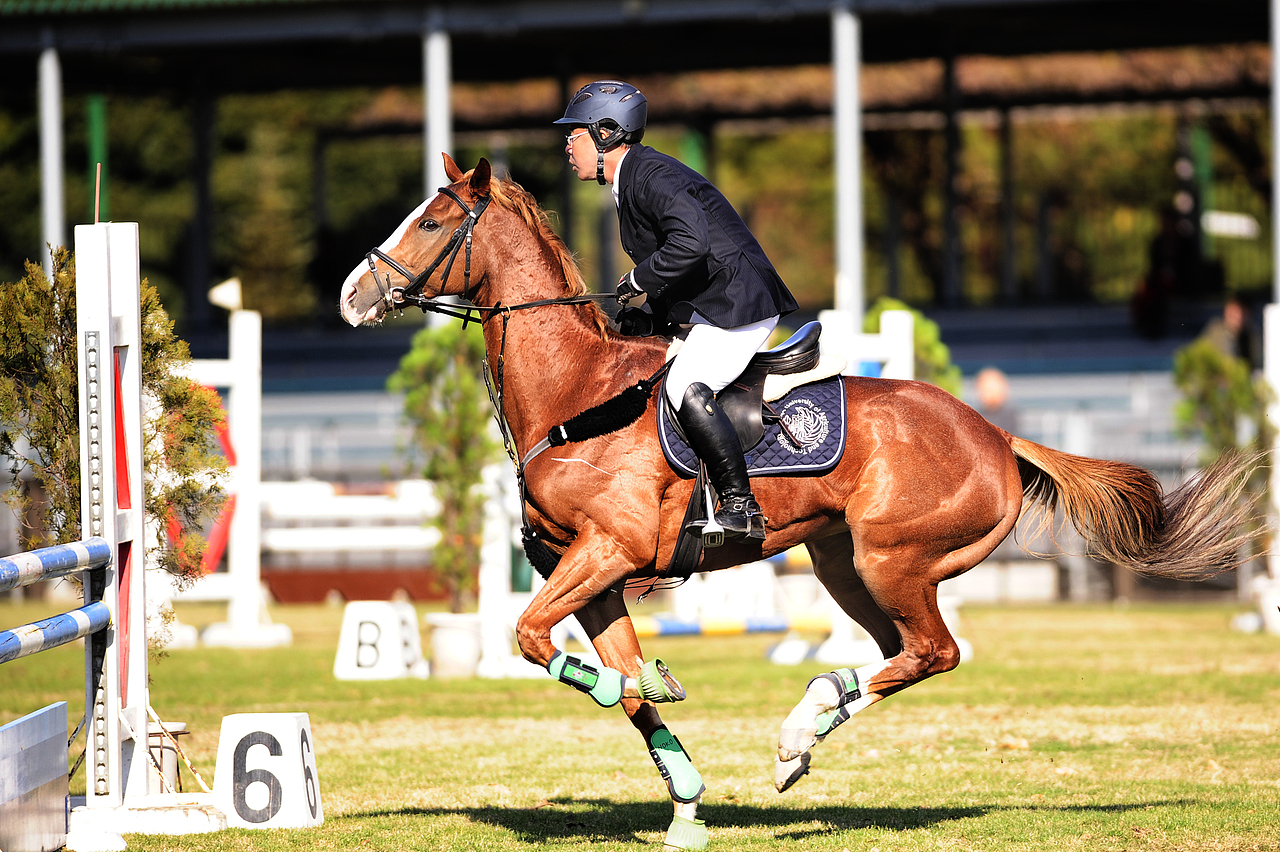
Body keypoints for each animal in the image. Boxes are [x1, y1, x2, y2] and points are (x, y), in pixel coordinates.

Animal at [339, 155, 1261, 850]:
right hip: (842, 562)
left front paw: (629, 711)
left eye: (430, 223)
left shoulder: (610, 552)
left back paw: (797, 731)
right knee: (900, 654)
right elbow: (632, 688)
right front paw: (685, 803)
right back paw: (803, 737)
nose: (352, 296)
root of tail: (997, 436)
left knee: (934, 652)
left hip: (896, 560)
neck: (576, 393)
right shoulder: (590, 574)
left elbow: (536, 639)